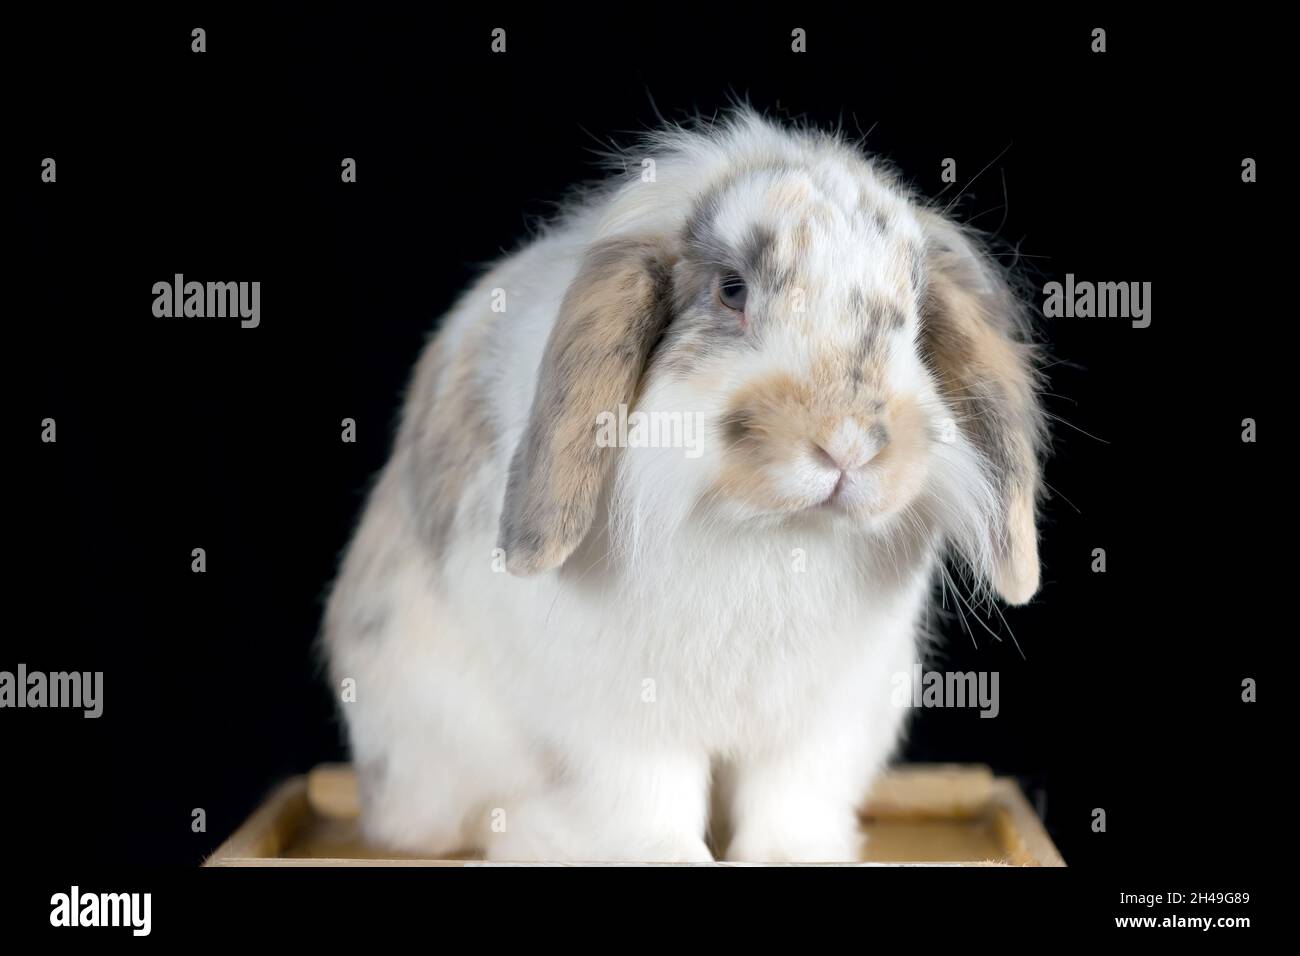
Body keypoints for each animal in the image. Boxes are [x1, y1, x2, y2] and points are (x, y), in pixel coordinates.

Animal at [322, 107, 1046, 863]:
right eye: (732, 290)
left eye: (914, 307)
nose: (848, 442)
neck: (772, 534)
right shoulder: (622, 719)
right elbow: (648, 792)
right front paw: (661, 853)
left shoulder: (821, 722)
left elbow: (791, 794)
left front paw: (791, 855)